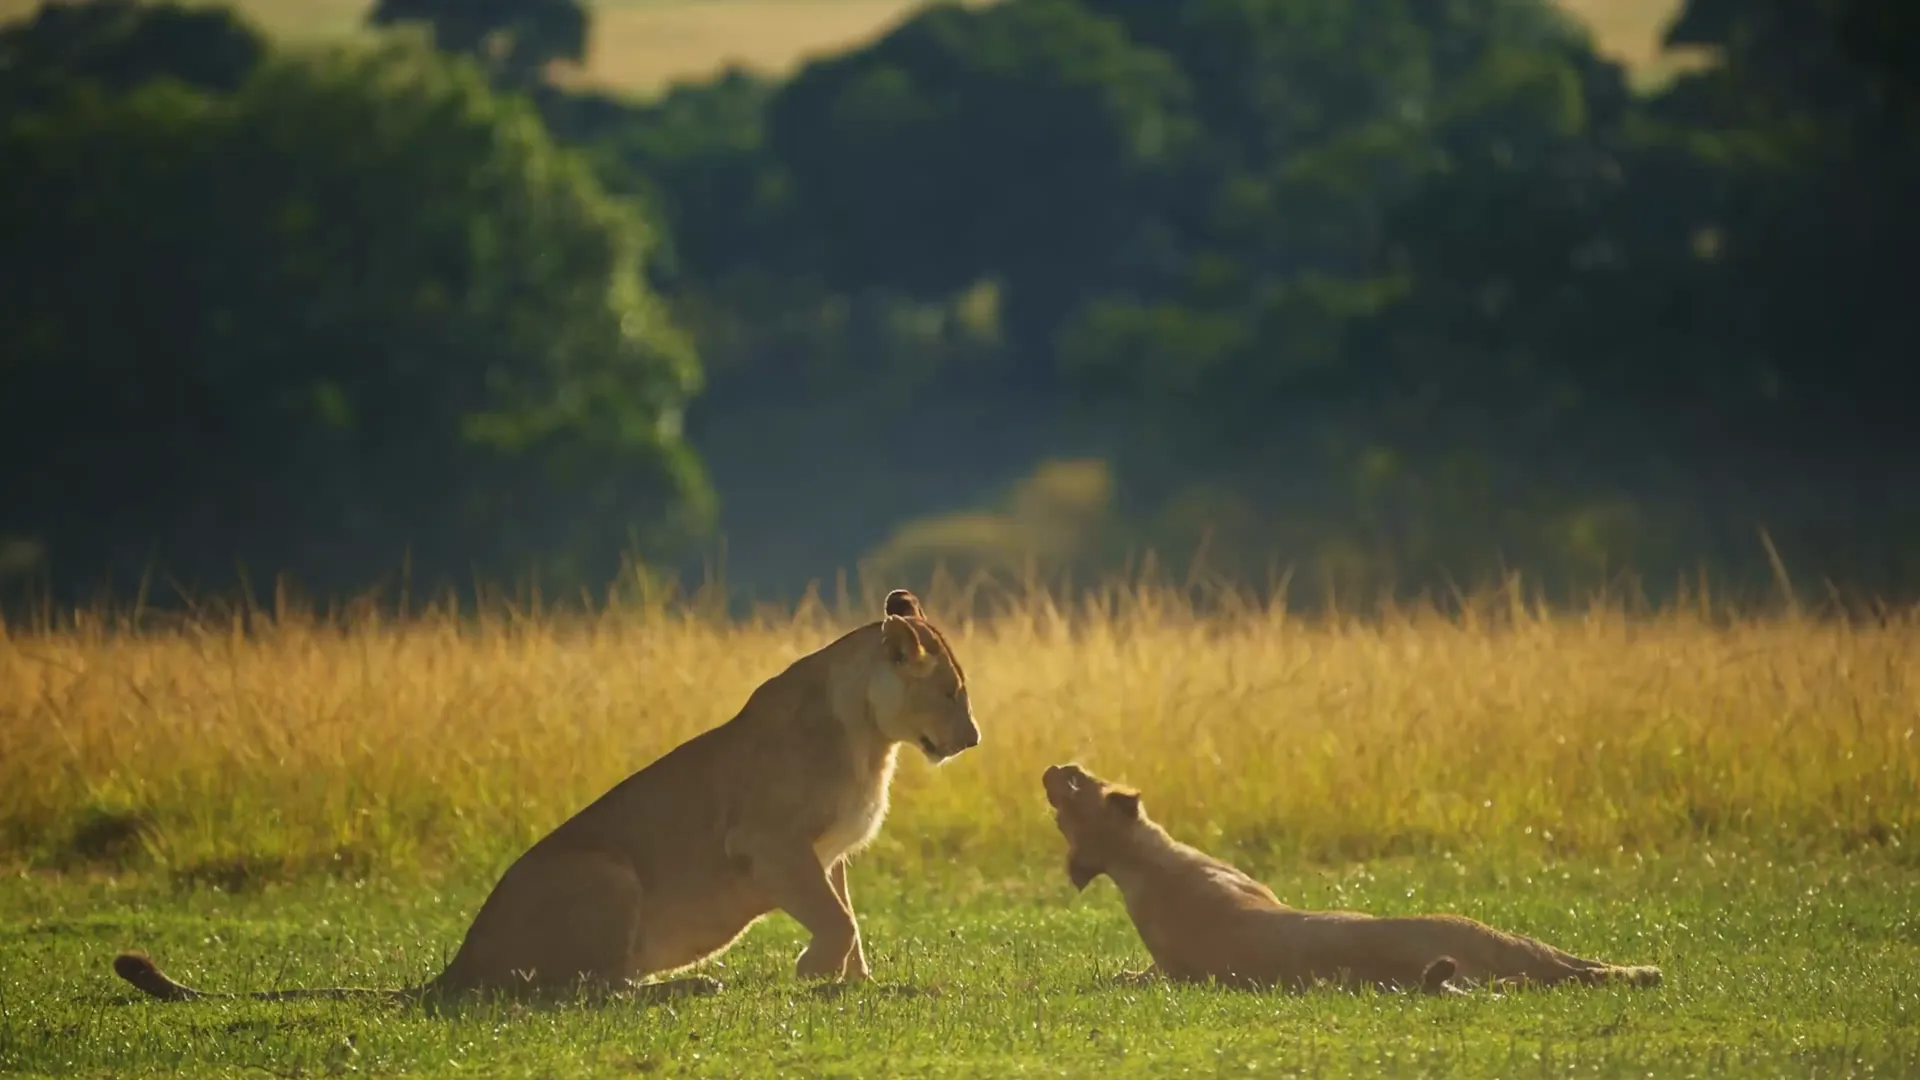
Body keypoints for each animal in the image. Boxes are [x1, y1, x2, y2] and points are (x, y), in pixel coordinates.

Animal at [109, 589, 981, 1005]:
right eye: (950, 692)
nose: (973, 738)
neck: (872, 736)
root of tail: (461, 962)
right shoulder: (769, 844)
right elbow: (837, 917)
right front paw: (814, 972)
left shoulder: (826, 853)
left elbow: (846, 915)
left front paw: (856, 984)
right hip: (605, 871)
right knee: (584, 985)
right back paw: (690, 984)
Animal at [1042, 763, 1663, 995]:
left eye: (1074, 785)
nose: (1052, 769)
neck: (1138, 863)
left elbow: (1133, 973)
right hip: (1486, 937)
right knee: (1570, 968)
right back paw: (1645, 971)